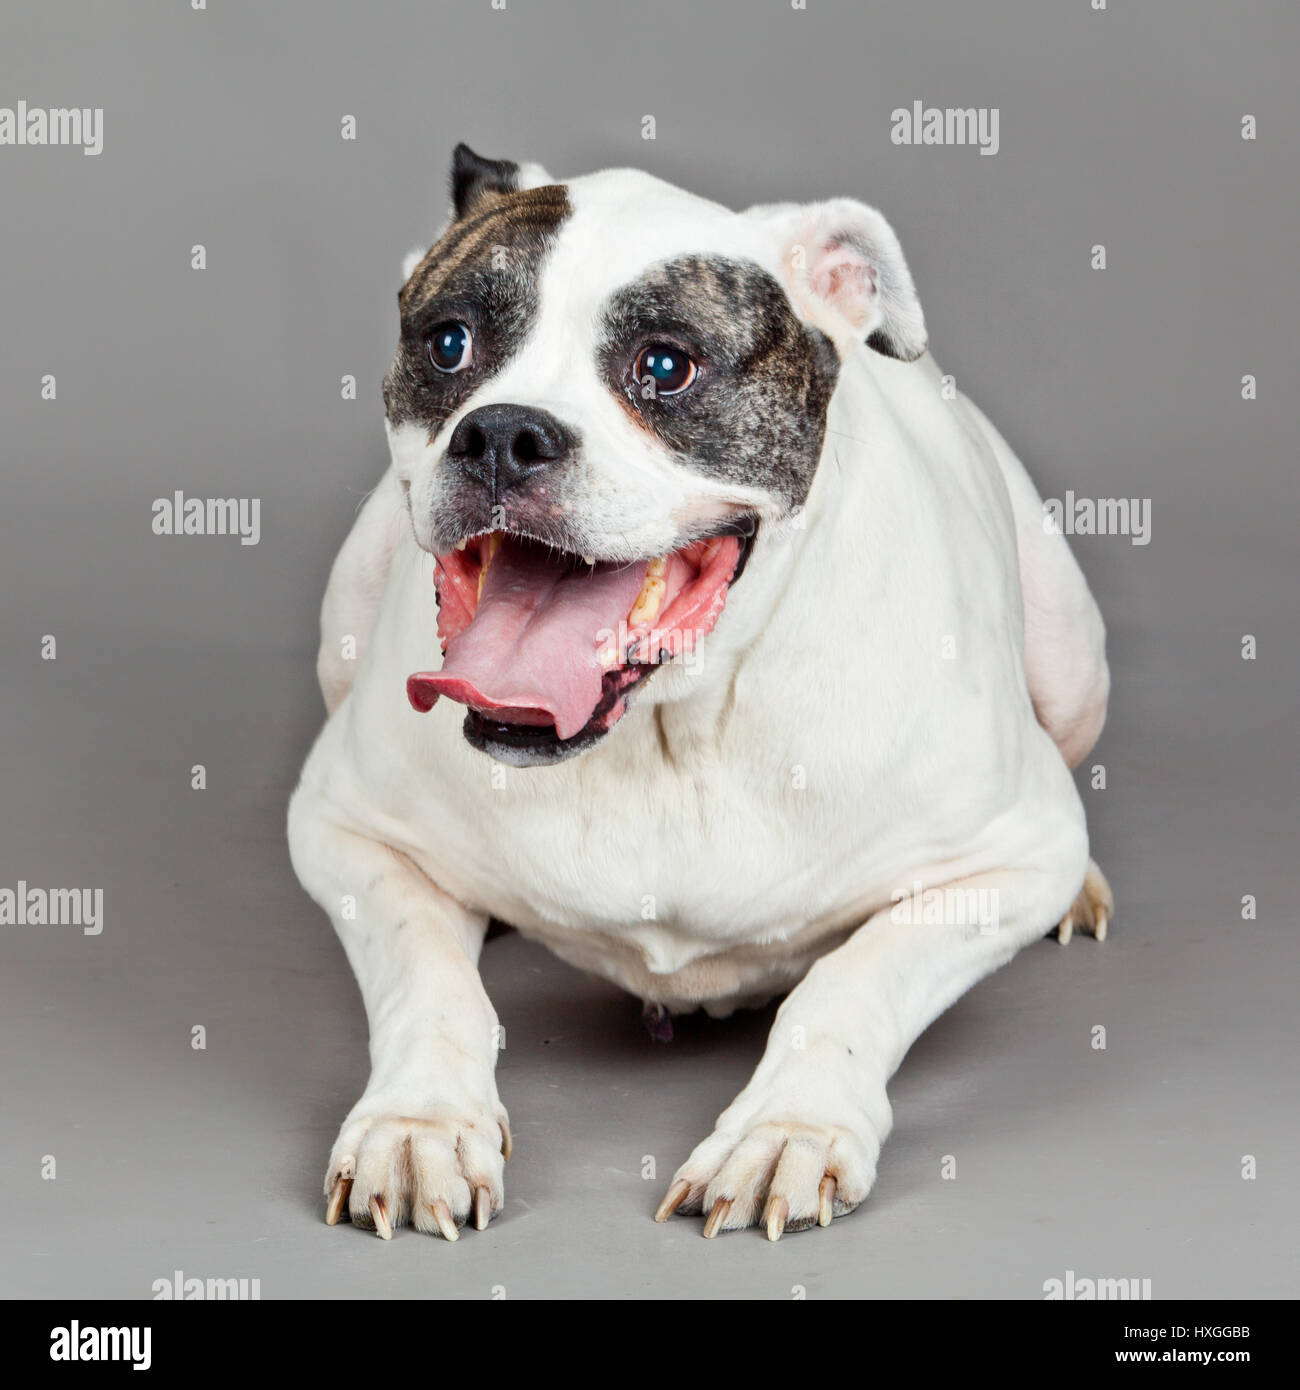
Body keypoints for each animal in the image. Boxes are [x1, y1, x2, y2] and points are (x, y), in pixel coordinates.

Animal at [289, 146, 1112, 1245]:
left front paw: (786, 1130)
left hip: (1073, 659)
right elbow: (428, 975)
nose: (502, 432)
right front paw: (418, 1122)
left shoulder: (1009, 858)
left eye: (665, 366)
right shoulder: (343, 830)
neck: (668, 727)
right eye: (449, 343)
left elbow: (852, 981)